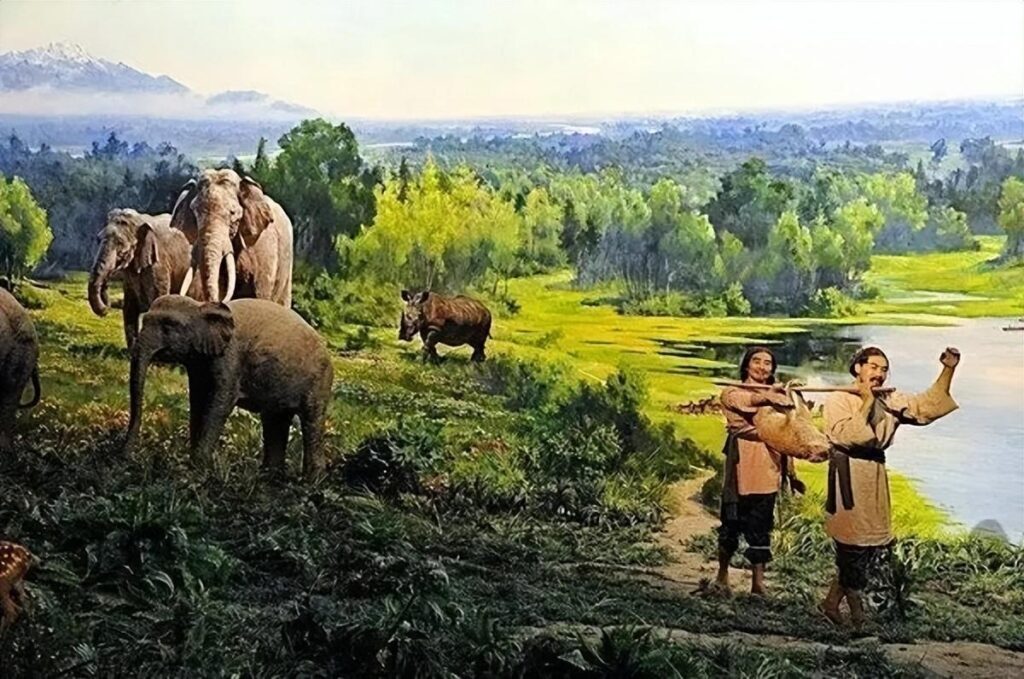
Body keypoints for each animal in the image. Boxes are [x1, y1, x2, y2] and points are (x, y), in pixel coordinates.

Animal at [87, 208, 192, 348]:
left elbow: (156, 302)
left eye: (120, 243)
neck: (139, 220)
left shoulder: (158, 264)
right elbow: (129, 307)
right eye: (98, 239)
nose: (106, 284)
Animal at [122, 296, 331, 477]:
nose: (128, 459)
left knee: (311, 420)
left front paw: (197, 468)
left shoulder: (230, 356)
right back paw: (268, 476)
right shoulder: (198, 361)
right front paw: (192, 465)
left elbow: (221, 402)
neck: (201, 306)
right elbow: (198, 399)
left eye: (168, 325)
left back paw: (310, 481)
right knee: (275, 419)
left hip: (318, 382)